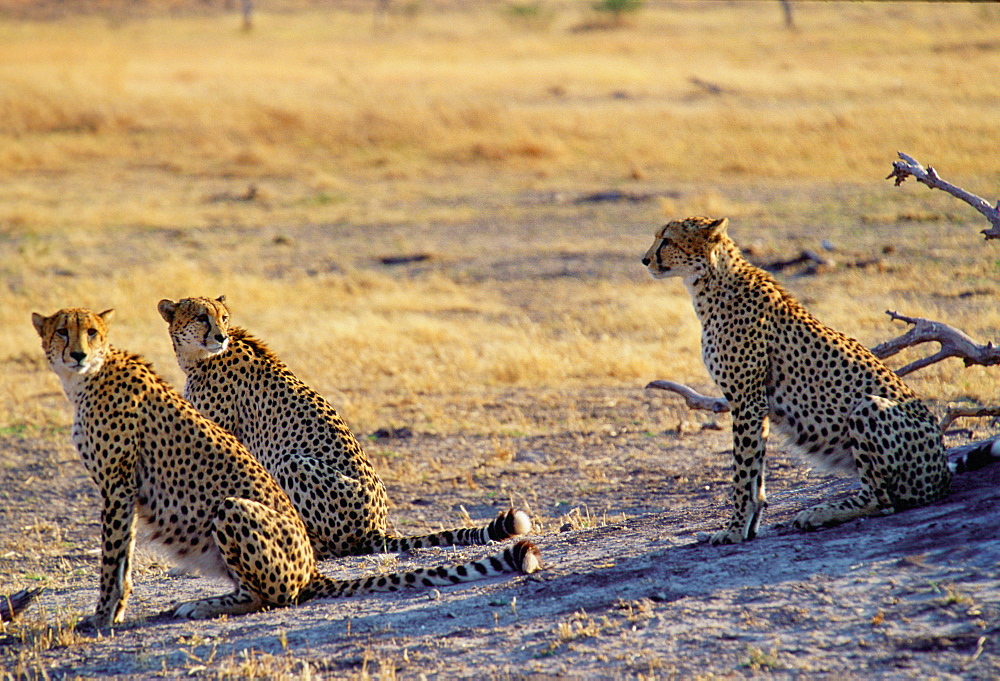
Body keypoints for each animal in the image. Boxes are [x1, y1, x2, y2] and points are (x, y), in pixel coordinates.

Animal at [157, 294, 532, 560]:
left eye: (223, 317)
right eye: (201, 317)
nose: (219, 336)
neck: (199, 357)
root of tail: (376, 527)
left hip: (293, 462)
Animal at [640, 215, 960, 544]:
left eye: (667, 239)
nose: (645, 260)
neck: (710, 283)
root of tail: (942, 472)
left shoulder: (746, 400)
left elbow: (742, 472)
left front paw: (734, 530)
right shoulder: (756, 405)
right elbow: (756, 470)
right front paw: (749, 526)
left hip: (868, 407)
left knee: (882, 499)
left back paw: (820, 513)